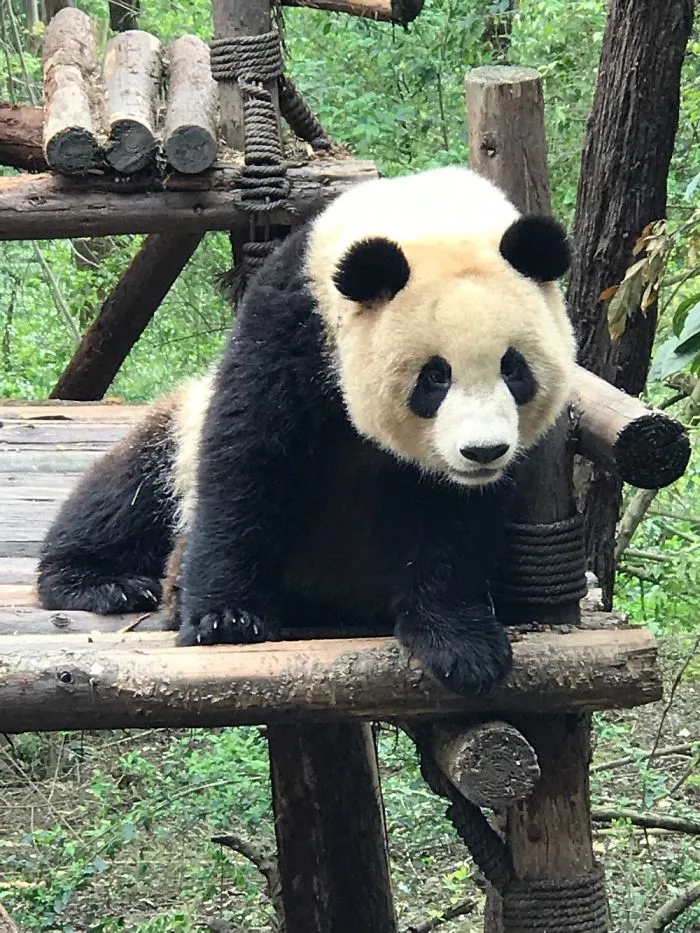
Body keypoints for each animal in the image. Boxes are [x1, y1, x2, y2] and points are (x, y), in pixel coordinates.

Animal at [36, 166, 575, 695]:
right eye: (435, 377)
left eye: (514, 369)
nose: (483, 451)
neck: (428, 217)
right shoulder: (292, 326)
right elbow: (246, 460)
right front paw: (226, 620)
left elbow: (453, 519)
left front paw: (462, 644)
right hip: (176, 427)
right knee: (126, 493)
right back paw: (109, 582)